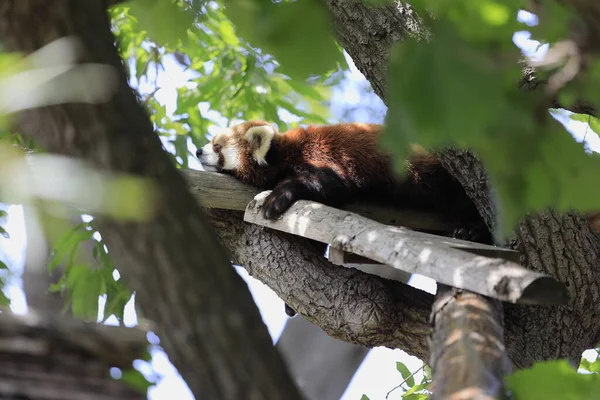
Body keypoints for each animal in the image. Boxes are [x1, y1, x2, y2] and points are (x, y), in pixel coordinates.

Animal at [198, 119, 492, 244]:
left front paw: (277, 197)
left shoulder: (325, 156)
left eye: (216, 146)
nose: (199, 151)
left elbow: (331, 185)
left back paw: (472, 231)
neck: (287, 152)